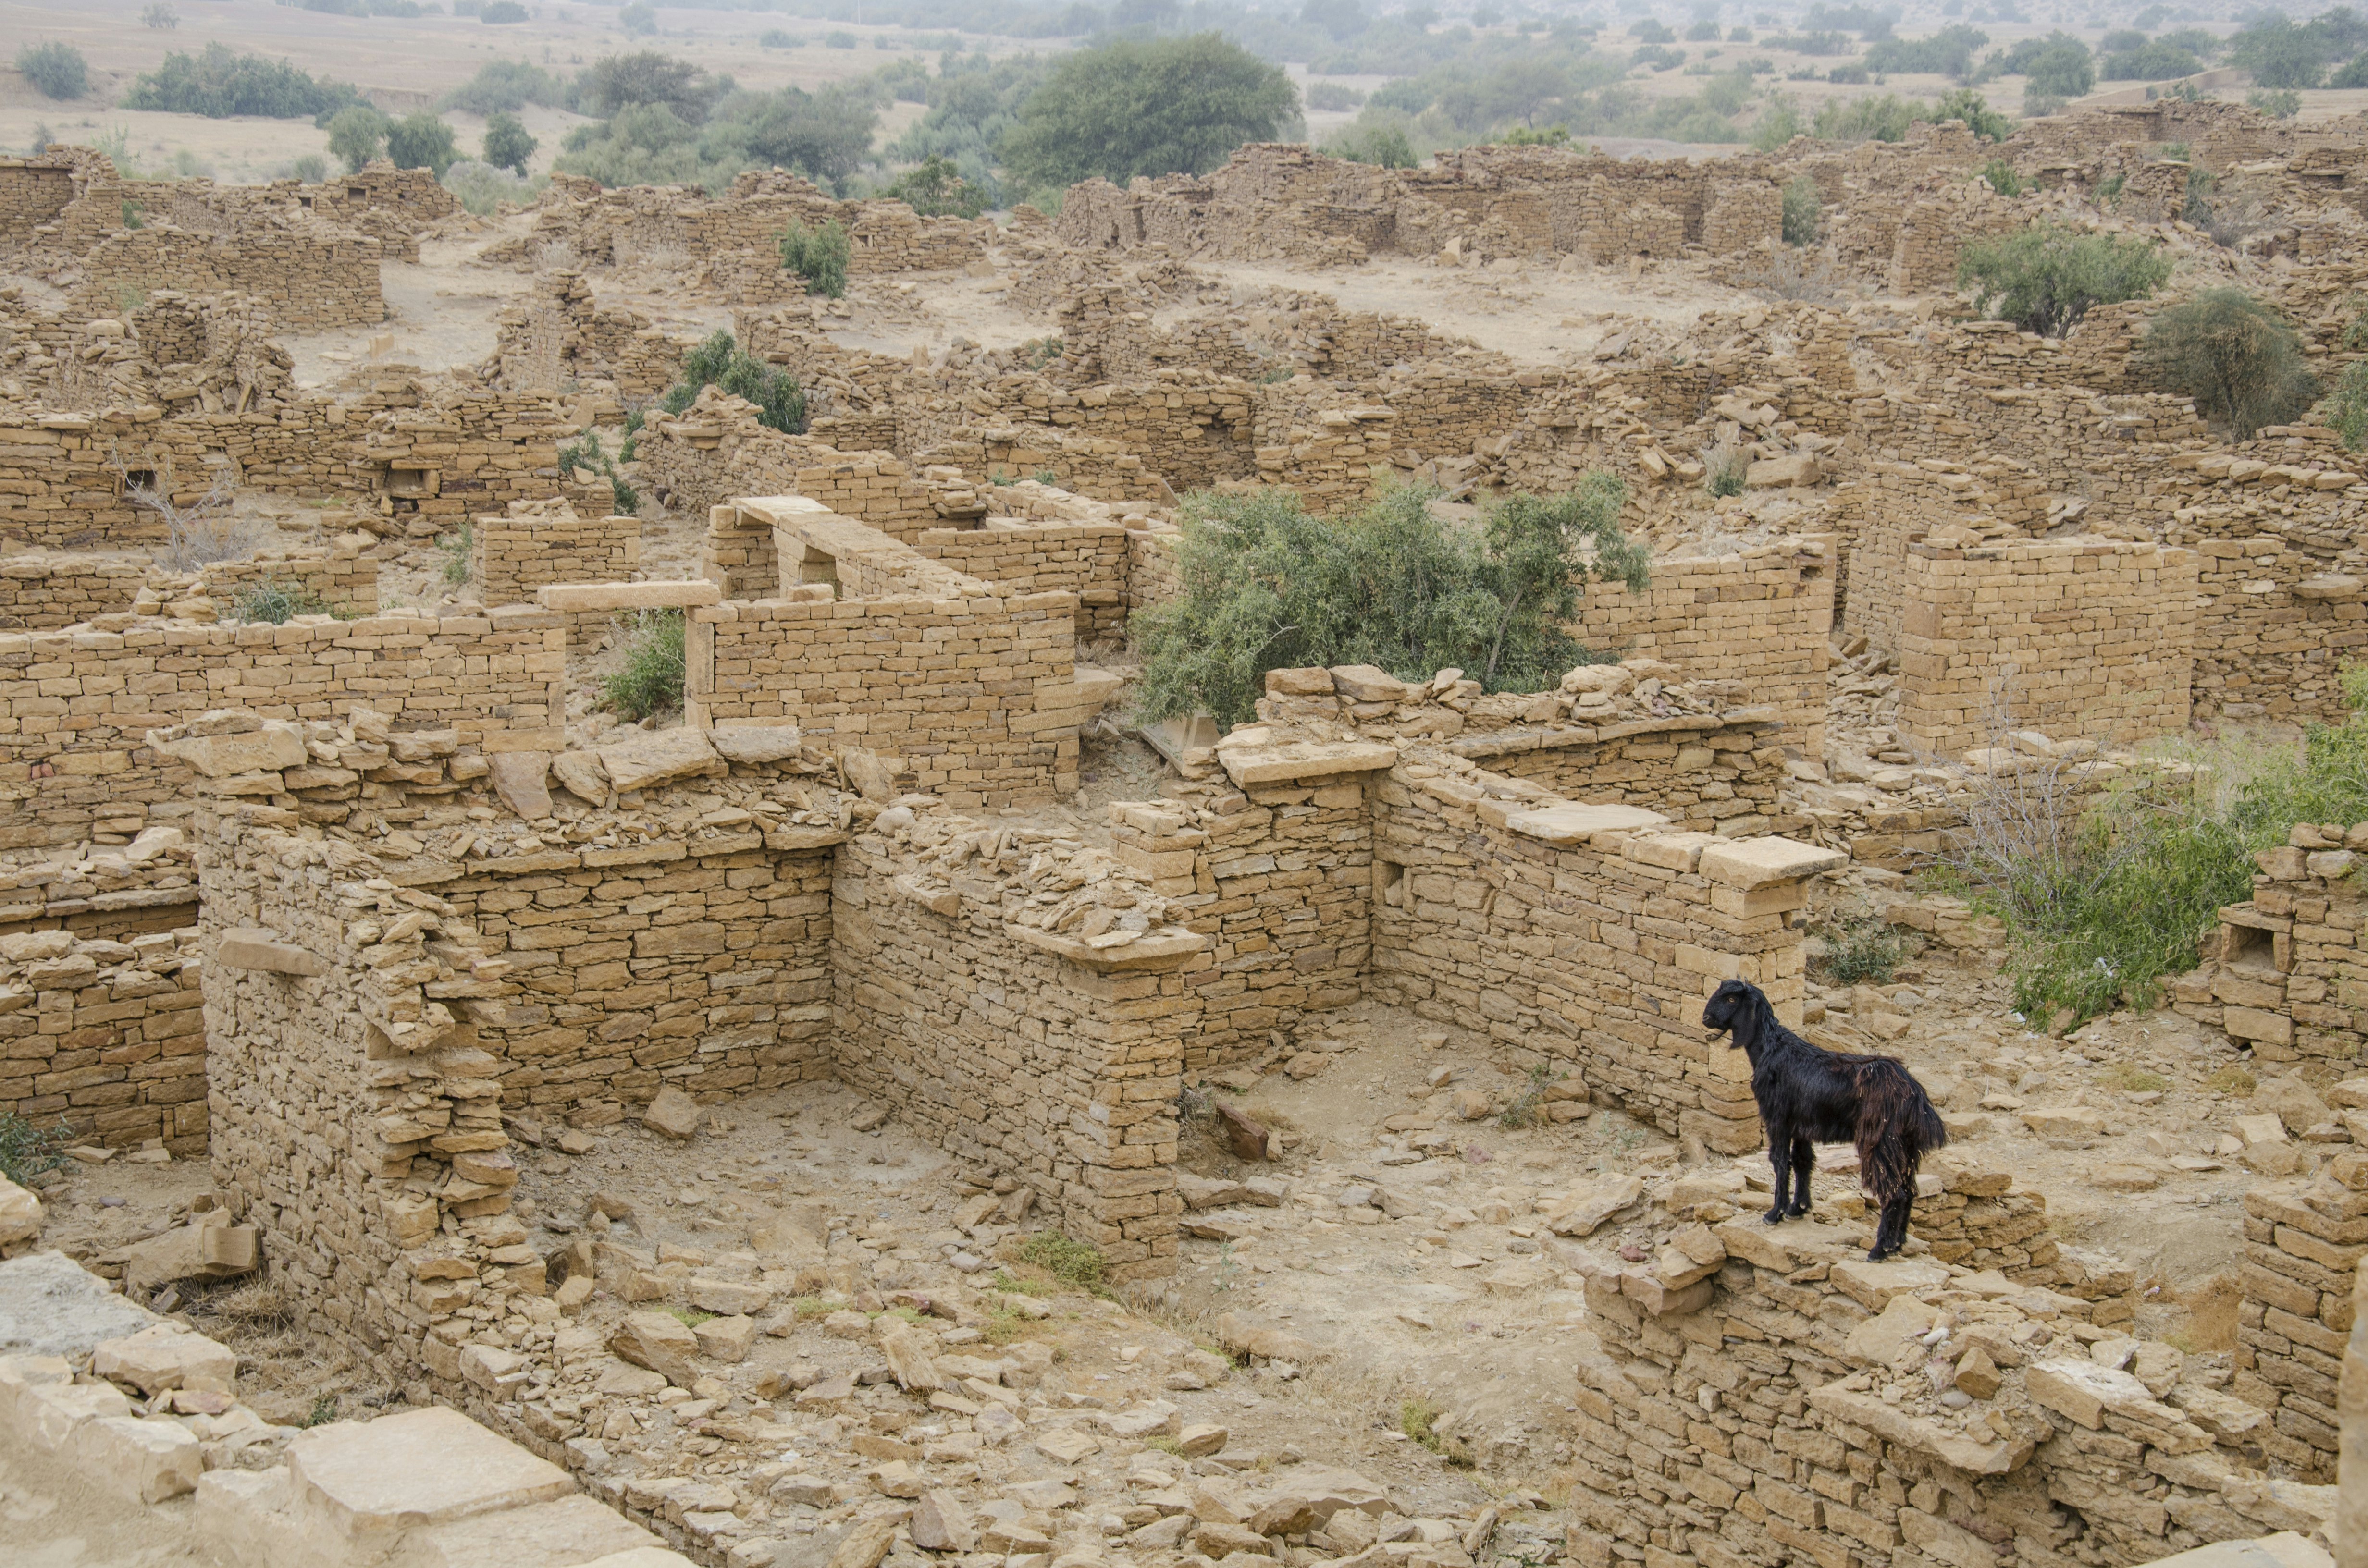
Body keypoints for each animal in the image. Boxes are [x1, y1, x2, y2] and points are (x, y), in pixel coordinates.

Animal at [1705, 985, 1941, 1269]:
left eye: (1731, 998)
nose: (1706, 1018)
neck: (1771, 1050)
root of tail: (1916, 1097)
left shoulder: (1778, 1119)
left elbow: (1780, 1161)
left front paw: (1775, 1214)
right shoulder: (1801, 1126)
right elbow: (1803, 1161)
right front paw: (1798, 1209)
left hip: (1881, 1142)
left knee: (1894, 1193)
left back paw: (1879, 1250)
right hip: (1906, 1148)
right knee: (1909, 1191)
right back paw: (1897, 1245)